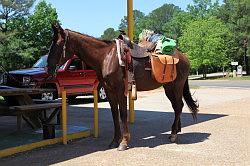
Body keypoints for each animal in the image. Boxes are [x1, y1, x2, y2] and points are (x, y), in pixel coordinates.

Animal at [47, 24, 199, 151]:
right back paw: (175, 130)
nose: (48, 68)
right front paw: (115, 140)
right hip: (168, 87)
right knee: (176, 106)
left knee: (178, 106)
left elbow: (123, 114)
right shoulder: (109, 91)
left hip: (177, 86)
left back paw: (173, 134)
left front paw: (124, 142)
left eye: (58, 43)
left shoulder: (120, 90)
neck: (106, 57)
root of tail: (184, 57)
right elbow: (114, 115)